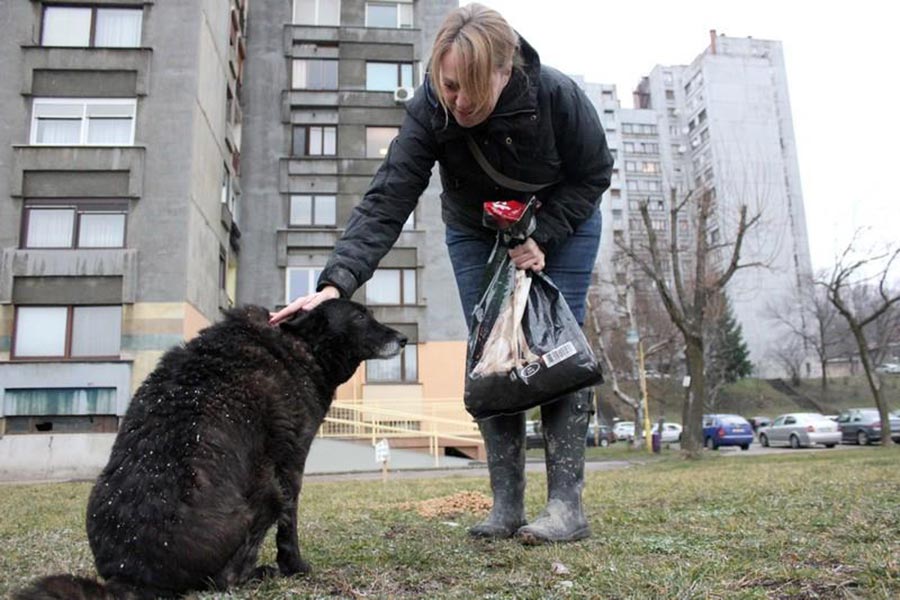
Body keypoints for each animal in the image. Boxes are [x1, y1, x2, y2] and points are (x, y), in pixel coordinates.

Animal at [14, 298, 406, 596]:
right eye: (360, 316)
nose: (403, 338)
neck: (302, 345)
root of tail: (128, 576)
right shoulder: (291, 463)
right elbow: (289, 528)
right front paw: (295, 567)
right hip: (267, 495)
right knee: (225, 580)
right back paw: (260, 573)